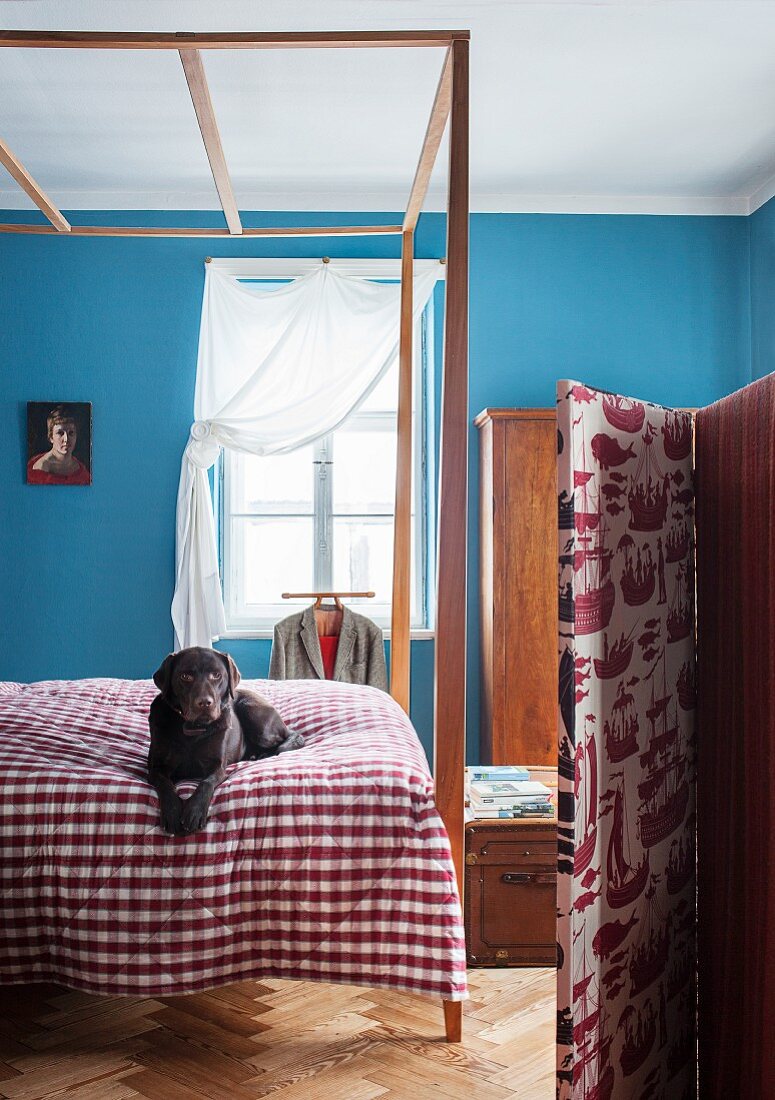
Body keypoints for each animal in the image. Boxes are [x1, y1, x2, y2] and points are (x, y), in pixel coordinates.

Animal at [146, 642, 303, 831]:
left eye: (216, 675)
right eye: (185, 676)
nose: (204, 703)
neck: (194, 729)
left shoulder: (218, 766)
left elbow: (206, 782)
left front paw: (194, 811)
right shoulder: (156, 767)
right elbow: (166, 784)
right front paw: (173, 812)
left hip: (254, 717)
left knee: (281, 740)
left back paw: (260, 754)